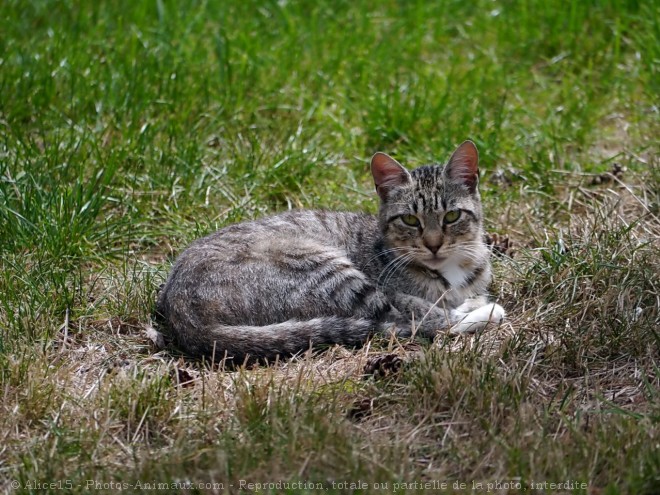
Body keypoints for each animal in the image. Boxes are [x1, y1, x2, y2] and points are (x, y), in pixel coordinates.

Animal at [156, 140, 506, 364]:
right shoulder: (395, 292)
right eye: (410, 219)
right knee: (403, 322)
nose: (433, 244)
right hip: (325, 270)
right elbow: (426, 309)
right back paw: (482, 312)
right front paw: (472, 305)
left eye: (452, 216)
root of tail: (181, 314)